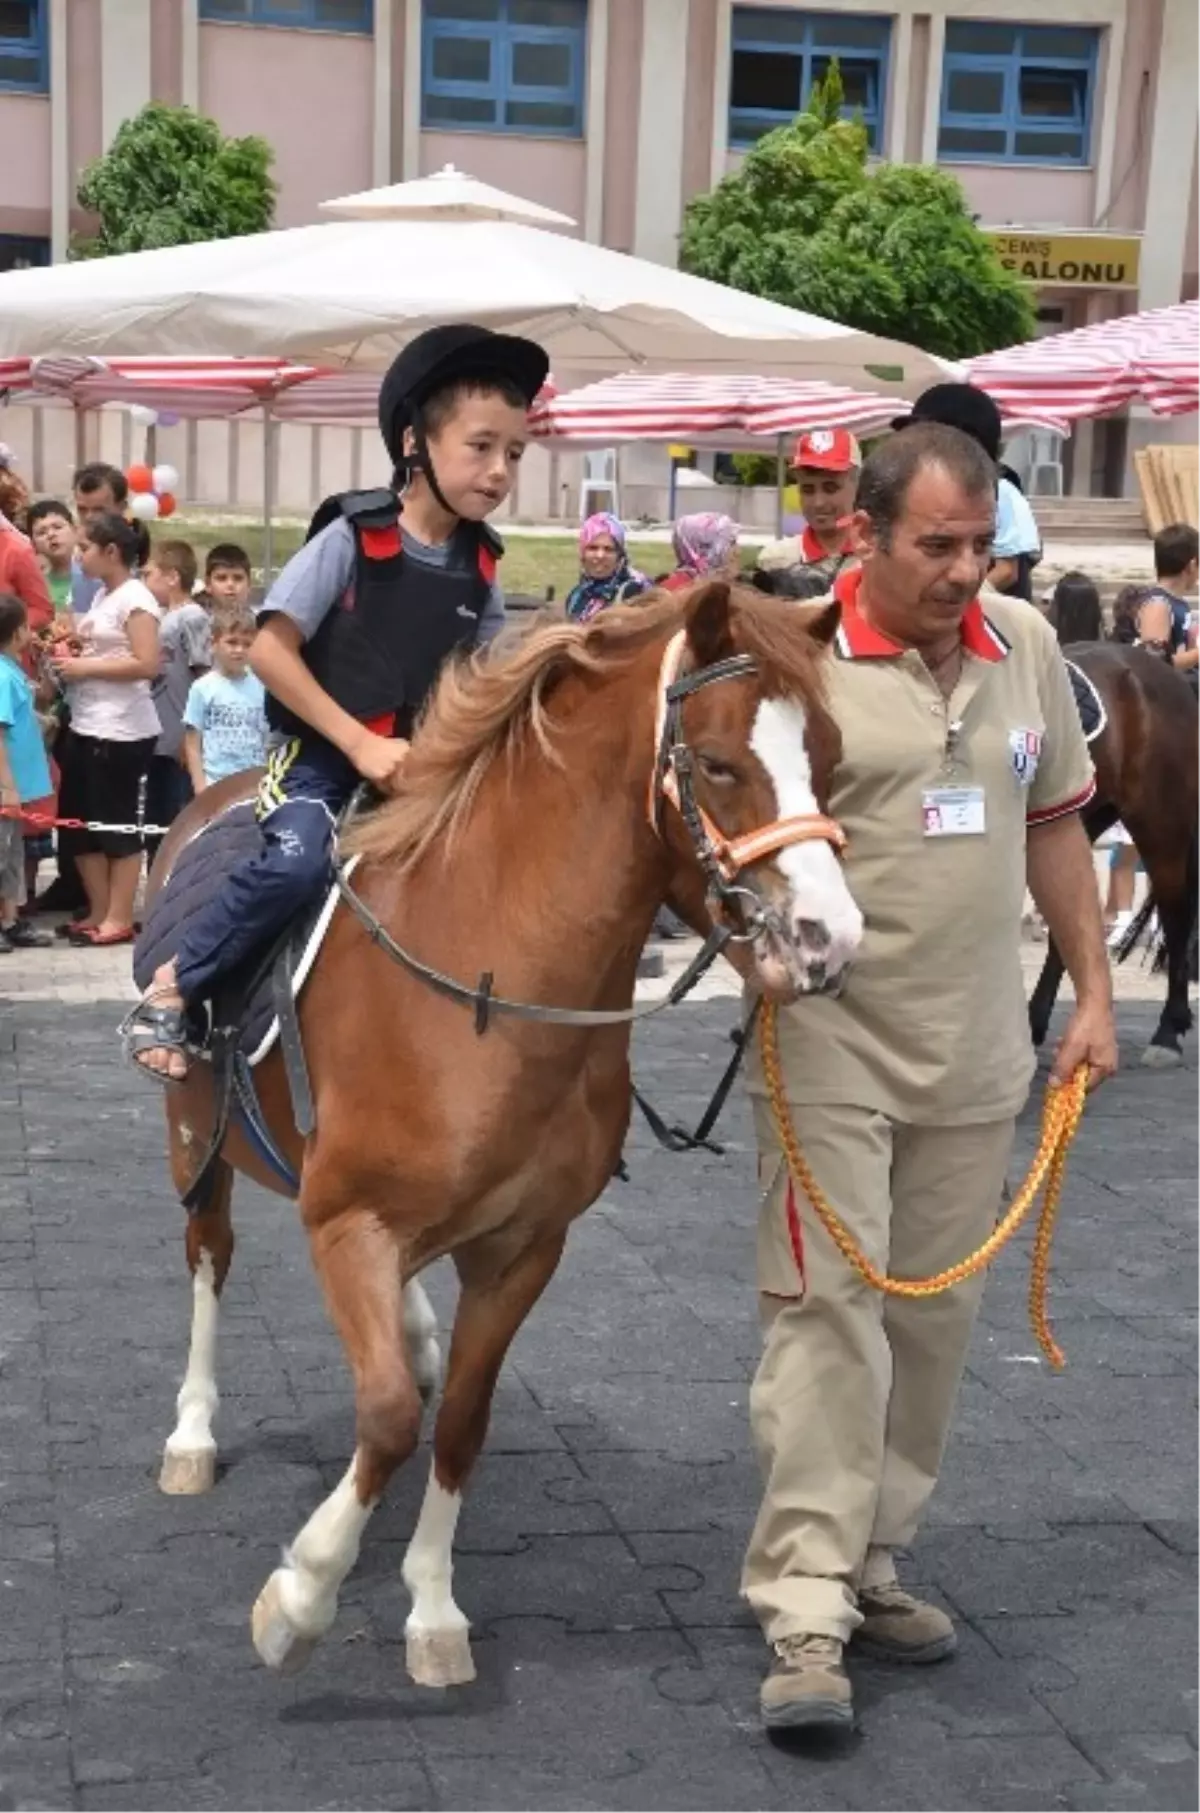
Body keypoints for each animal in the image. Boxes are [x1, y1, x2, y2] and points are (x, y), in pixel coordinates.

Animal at [147, 587, 866, 1689]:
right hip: (197, 1139)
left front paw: (434, 1608)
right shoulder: (344, 1221)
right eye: (716, 763)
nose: (830, 940)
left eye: (826, 754)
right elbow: (388, 1416)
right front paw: (302, 1596)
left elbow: (457, 1420)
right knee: (208, 1260)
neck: (490, 988)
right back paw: (191, 1431)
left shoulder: (523, 1247)